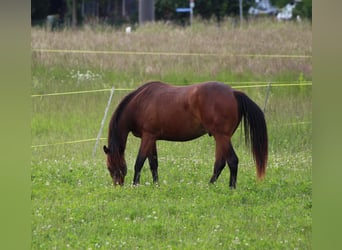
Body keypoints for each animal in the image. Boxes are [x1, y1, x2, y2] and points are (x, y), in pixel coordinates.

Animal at [103, 81, 268, 188]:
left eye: (110, 167)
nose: (118, 186)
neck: (140, 103)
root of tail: (234, 92)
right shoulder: (152, 138)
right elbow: (153, 163)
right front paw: (156, 185)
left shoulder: (147, 136)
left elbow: (139, 162)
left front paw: (135, 185)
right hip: (221, 138)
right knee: (220, 163)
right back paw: (210, 186)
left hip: (222, 137)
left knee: (232, 161)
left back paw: (231, 188)